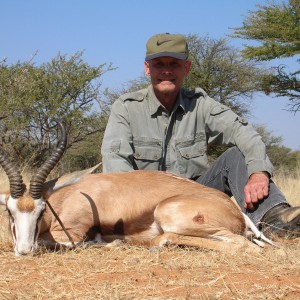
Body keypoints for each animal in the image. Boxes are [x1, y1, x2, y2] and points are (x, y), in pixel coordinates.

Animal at [0, 120, 272, 254]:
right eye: (9, 211)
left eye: (41, 211)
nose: (24, 250)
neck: (67, 197)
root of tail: (237, 212)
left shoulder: (72, 233)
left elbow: (54, 242)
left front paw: (111, 244)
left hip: (171, 216)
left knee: (243, 245)